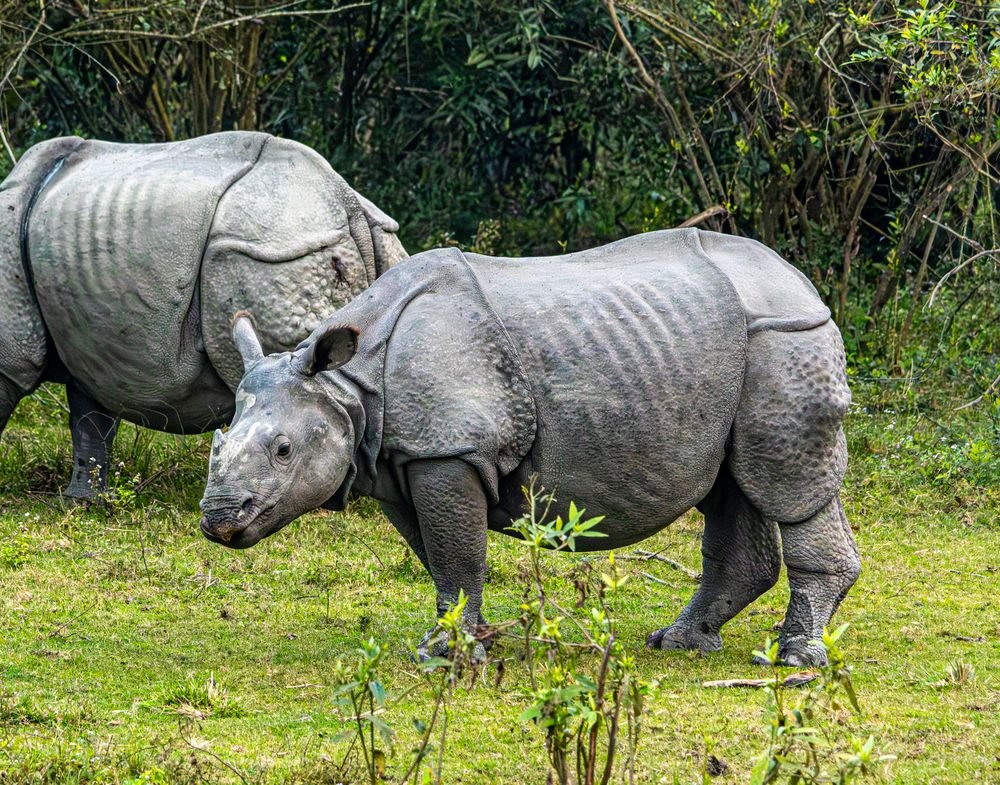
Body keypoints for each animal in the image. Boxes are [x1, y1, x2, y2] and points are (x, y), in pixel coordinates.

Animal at [0, 131, 406, 498]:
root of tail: (346, 205)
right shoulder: (92, 345)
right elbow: (92, 418)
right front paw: (85, 502)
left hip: (267, 254)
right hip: (363, 238)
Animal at [199, 229, 860, 666]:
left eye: (283, 451)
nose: (218, 521)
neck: (345, 389)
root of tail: (803, 285)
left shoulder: (448, 449)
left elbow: (458, 555)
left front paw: (447, 657)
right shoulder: (394, 457)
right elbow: (439, 558)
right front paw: (464, 641)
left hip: (785, 338)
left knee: (788, 487)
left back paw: (794, 664)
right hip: (738, 348)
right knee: (733, 486)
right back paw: (681, 643)